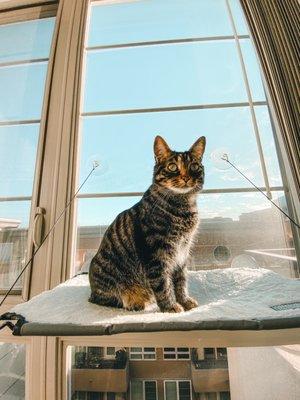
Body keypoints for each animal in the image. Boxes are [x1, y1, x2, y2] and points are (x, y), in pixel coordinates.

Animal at [89, 136, 206, 314]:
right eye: (172, 167)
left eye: (194, 166)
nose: (186, 177)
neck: (183, 205)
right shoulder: (155, 253)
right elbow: (163, 284)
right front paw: (170, 306)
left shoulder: (182, 251)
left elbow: (181, 281)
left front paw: (184, 301)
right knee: (106, 299)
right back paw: (135, 302)